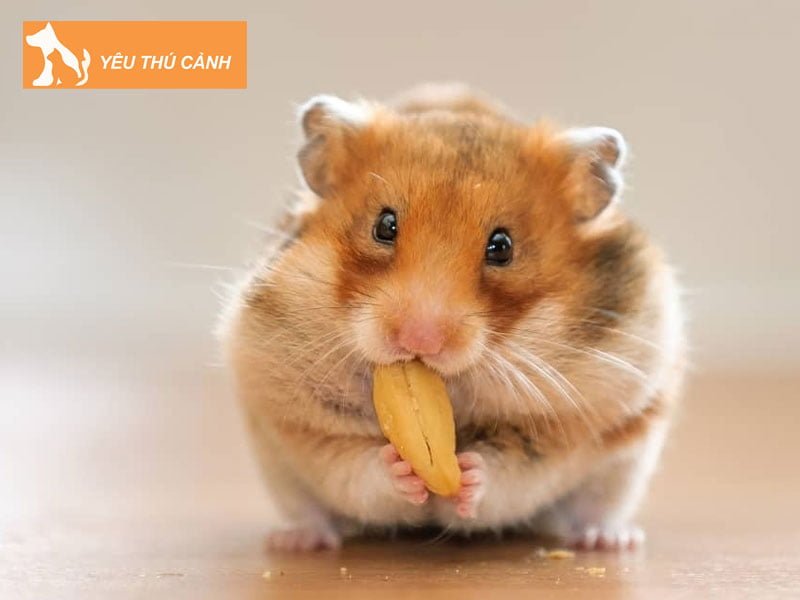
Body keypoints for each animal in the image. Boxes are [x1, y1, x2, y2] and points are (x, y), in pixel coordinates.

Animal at [219, 84, 685, 552]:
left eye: (502, 247)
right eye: (384, 225)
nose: (419, 341)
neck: (453, 389)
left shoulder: (566, 426)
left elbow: (511, 471)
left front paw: (469, 475)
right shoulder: (299, 420)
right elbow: (356, 466)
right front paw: (399, 468)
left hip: (625, 465)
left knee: (593, 509)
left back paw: (609, 540)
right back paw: (297, 541)